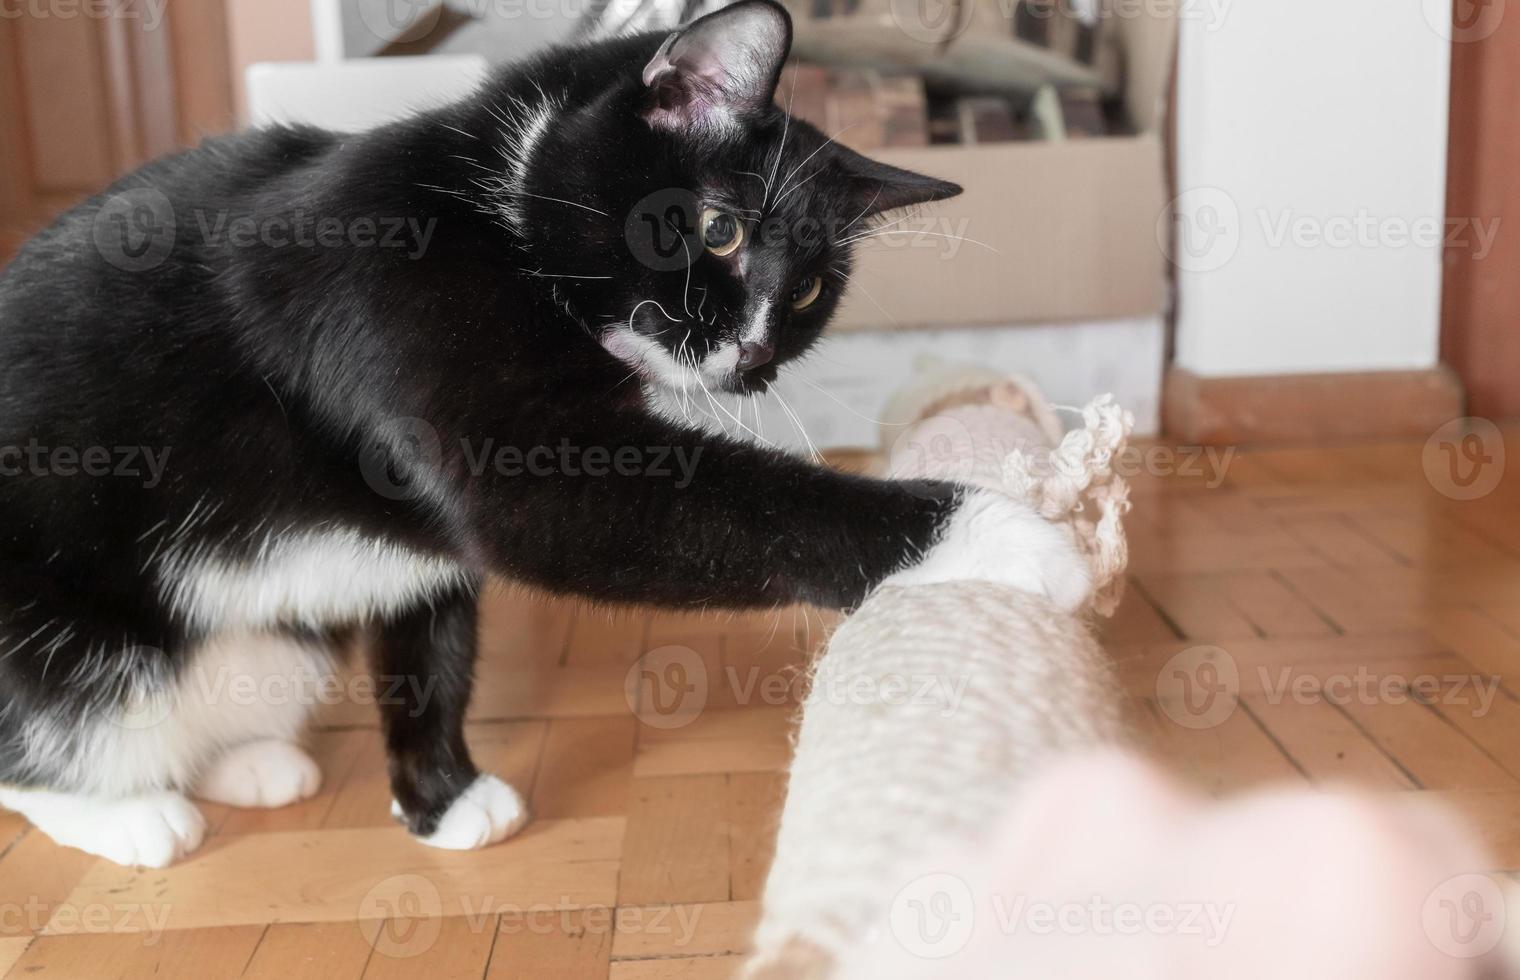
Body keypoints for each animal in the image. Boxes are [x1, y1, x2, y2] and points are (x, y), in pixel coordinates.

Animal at [0, 0, 1094, 863]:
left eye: (811, 293)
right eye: (720, 228)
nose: (752, 354)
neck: (496, 219)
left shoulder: (417, 544)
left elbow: (431, 639)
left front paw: (439, 798)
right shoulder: (470, 410)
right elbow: (747, 507)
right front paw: (1012, 535)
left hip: (279, 647)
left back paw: (247, 760)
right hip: (65, 635)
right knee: (52, 725)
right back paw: (129, 812)